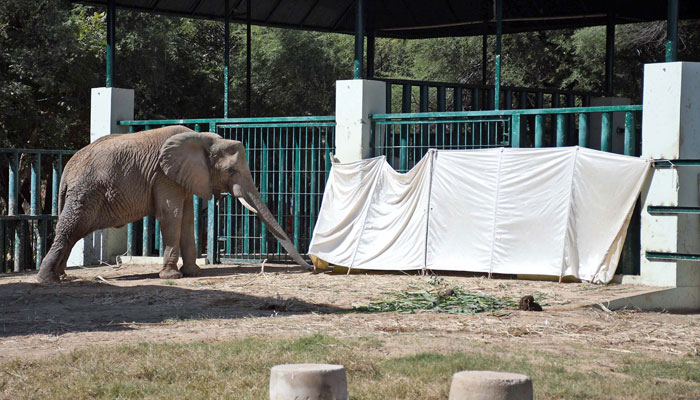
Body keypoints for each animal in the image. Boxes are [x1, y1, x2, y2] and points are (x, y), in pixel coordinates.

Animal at [37, 125, 311, 283]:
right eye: (231, 171)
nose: (311, 267)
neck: (204, 139)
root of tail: (67, 168)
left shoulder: (184, 176)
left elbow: (187, 218)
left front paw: (194, 273)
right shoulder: (163, 175)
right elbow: (172, 214)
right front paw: (173, 276)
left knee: (73, 233)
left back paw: (60, 276)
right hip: (85, 192)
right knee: (70, 229)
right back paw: (47, 280)